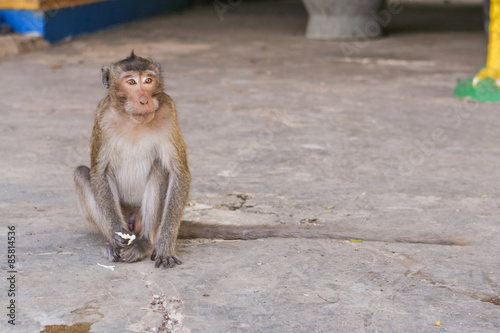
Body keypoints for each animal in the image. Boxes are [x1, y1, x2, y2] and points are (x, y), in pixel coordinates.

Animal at [74, 52, 468, 270]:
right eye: (130, 82)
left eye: (149, 80)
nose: (144, 99)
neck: (134, 118)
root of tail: (138, 222)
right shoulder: (101, 115)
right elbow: (98, 170)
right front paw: (117, 240)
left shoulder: (168, 109)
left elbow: (178, 172)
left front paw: (164, 247)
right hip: (123, 214)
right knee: (82, 173)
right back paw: (119, 244)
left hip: (146, 221)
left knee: (159, 172)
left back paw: (144, 244)